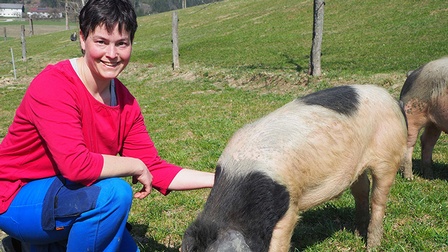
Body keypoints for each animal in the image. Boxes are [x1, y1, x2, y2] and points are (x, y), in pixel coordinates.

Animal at [180, 84, 408, 252]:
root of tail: (393, 100)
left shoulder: (288, 205)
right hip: (357, 164)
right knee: (361, 190)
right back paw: (358, 232)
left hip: (388, 154)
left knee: (378, 198)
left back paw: (372, 245)